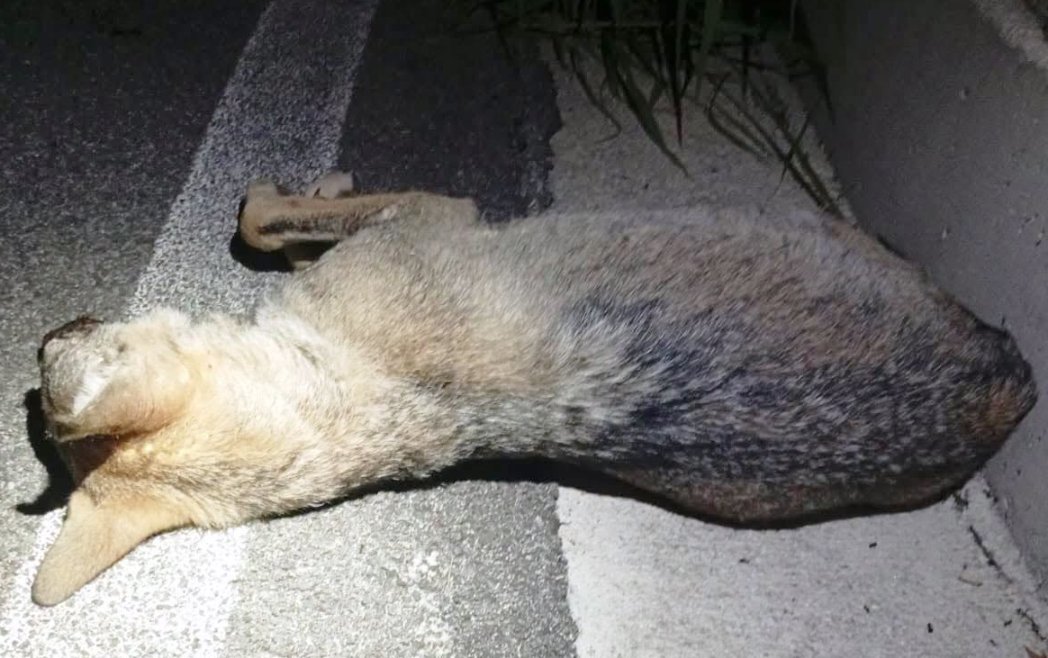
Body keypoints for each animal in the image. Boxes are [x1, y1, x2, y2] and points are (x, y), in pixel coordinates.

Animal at [32, 172, 1036, 605]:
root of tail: (1007, 389)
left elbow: (264, 220)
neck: (342, 381)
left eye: (45, 388)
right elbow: (265, 217)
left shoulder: (421, 220)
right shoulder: (429, 217)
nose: (39, 339)